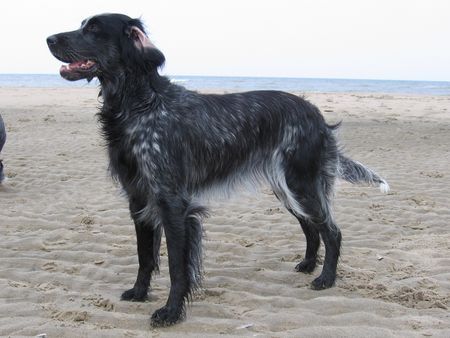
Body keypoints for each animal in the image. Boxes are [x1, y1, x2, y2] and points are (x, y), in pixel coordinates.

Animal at [47, 13, 388, 328]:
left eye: (93, 28)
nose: (48, 39)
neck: (141, 104)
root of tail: (317, 116)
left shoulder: (173, 203)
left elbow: (177, 267)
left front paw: (170, 312)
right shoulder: (139, 199)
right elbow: (145, 257)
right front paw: (139, 293)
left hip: (301, 185)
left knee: (332, 231)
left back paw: (325, 279)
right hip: (288, 191)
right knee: (312, 229)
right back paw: (307, 265)